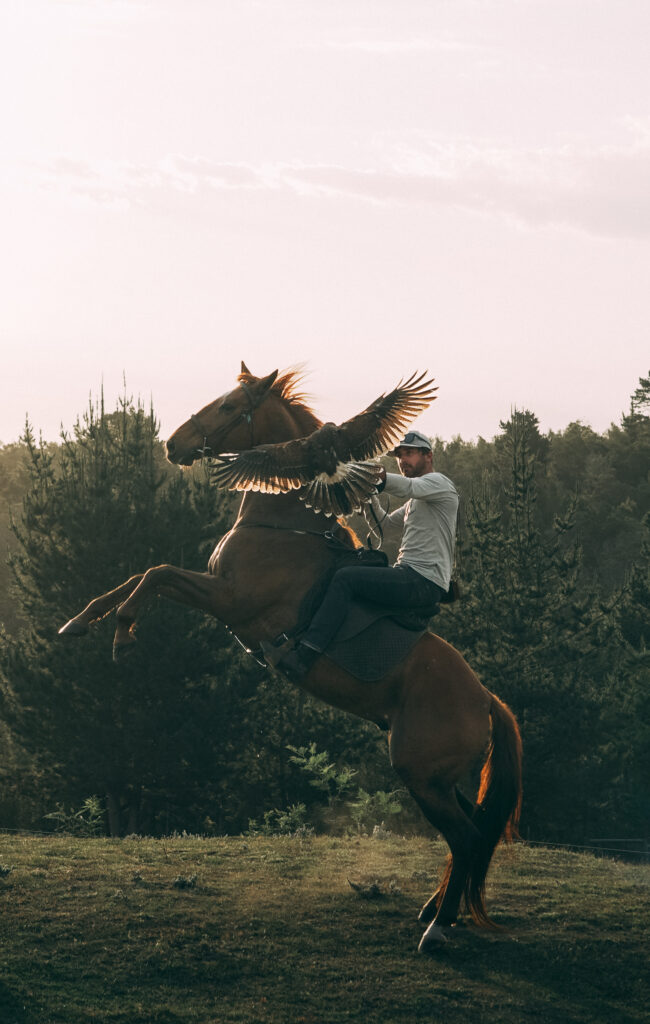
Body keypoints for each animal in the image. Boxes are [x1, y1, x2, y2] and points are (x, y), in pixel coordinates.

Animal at [58, 362, 522, 950]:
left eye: (229, 406)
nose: (172, 444)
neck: (285, 524)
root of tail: (485, 699)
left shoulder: (229, 599)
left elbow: (156, 575)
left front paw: (122, 632)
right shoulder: (218, 591)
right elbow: (141, 575)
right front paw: (80, 621)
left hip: (421, 774)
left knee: (463, 838)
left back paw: (438, 927)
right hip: (437, 780)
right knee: (472, 835)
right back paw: (435, 911)